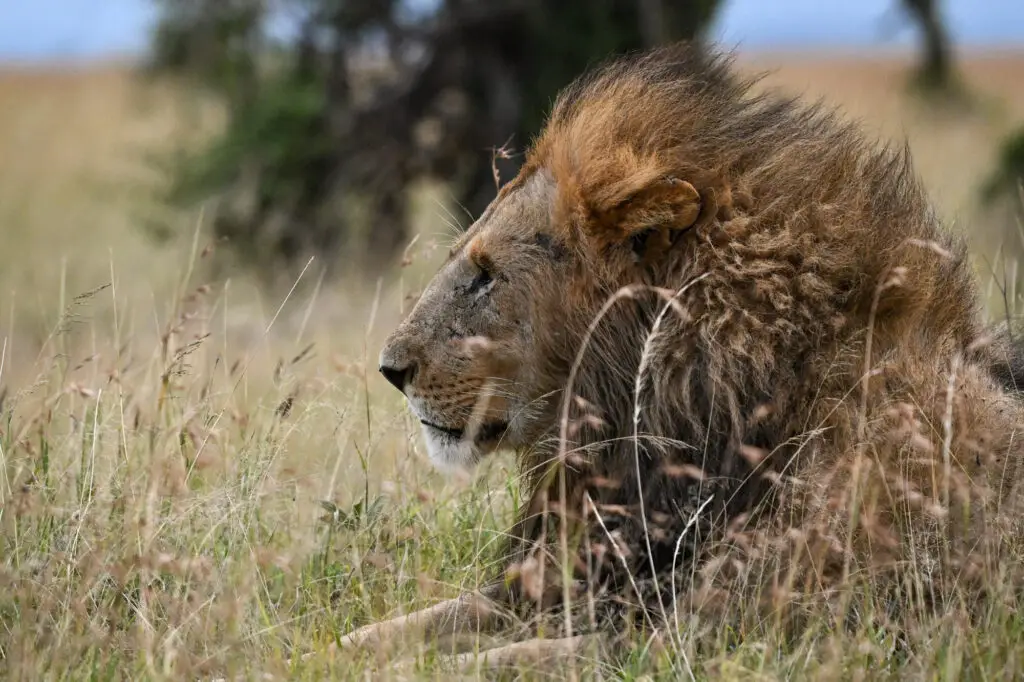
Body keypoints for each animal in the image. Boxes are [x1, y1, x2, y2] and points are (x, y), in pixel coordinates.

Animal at [338, 43, 1024, 671]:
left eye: (485, 276)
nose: (390, 370)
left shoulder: (728, 632)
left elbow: (496, 661)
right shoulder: (579, 577)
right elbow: (396, 629)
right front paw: (338, 646)